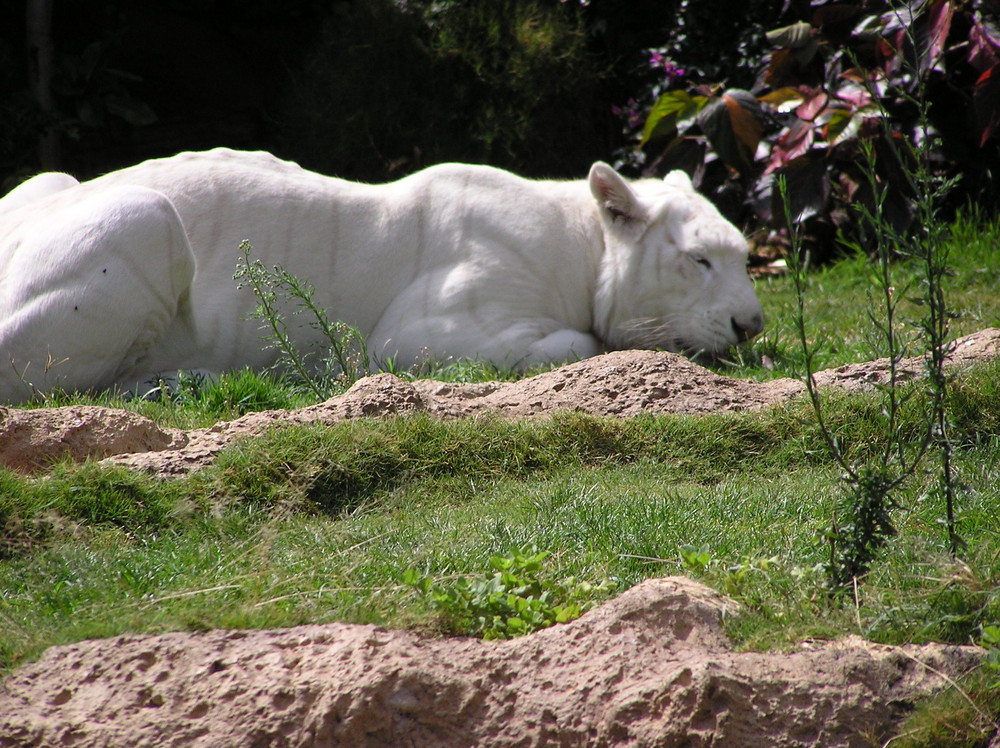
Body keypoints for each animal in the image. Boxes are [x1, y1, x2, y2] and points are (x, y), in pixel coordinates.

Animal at [0, 147, 760, 404]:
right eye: (699, 260)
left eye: (745, 255)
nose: (752, 324)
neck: (582, 242)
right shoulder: (428, 328)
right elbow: (579, 341)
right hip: (144, 220)